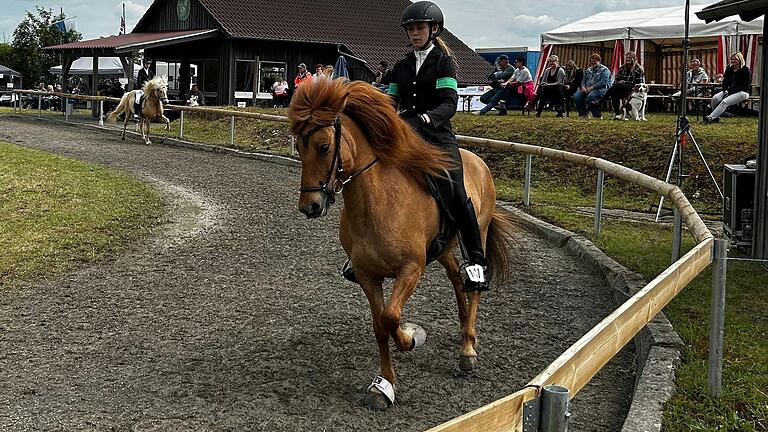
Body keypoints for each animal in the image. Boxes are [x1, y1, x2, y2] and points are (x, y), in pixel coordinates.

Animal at [288, 79, 516, 410]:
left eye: (324, 147)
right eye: (298, 147)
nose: (311, 206)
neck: (376, 202)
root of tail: (477, 161)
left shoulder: (411, 269)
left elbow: (391, 316)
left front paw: (411, 337)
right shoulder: (367, 275)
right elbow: (380, 326)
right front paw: (384, 386)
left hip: (479, 232)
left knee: (473, 286)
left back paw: (468, 350)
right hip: (443, 249)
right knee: (456, 280)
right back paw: (463, 330)